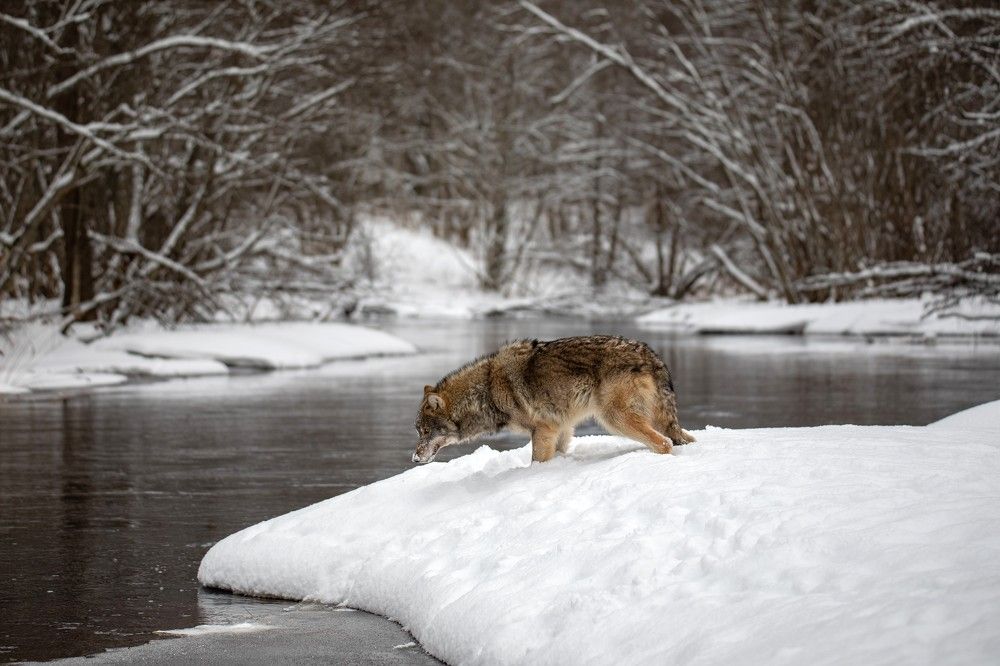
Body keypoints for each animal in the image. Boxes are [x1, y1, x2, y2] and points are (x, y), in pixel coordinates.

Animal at [412, 335, 695, 464]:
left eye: (425, 431)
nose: (414, 459)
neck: (487, 389)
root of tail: (651, 355)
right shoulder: (561, 427)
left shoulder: (543, 429)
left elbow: (536, 460)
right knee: (681, 438)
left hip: (614, 419)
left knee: (664, 443)